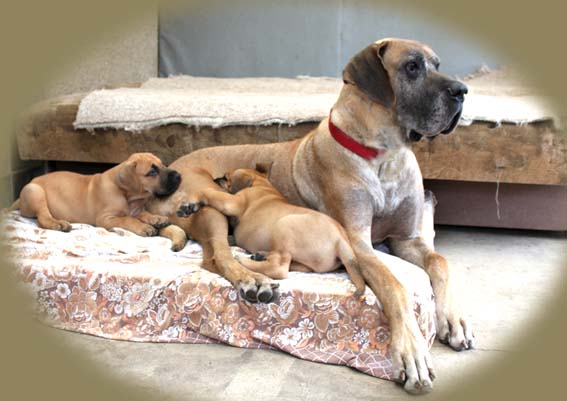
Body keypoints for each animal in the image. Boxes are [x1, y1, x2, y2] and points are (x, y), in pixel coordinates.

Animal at [12, 152, 182, 241]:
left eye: (162, 164)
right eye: (152, 172)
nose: (178, 176)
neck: (126, 195)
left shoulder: (136, 209)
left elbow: (142, 213)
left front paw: (156, 218)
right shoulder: (105, 218)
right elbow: (127, 219)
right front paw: (143, 227)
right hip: (35, 191)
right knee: (42, 218)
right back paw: (58, 224)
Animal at [177, 165, 367, 301]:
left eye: (226, 177)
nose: (215, 179)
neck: (261, 183)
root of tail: (341, 240)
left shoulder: (233, 201)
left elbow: (209, 192)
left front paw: (190, 203)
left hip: (284, 225)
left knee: (279, 268)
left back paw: (244, 259)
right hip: (311, 259)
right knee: (297, 266)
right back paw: (260, 255)